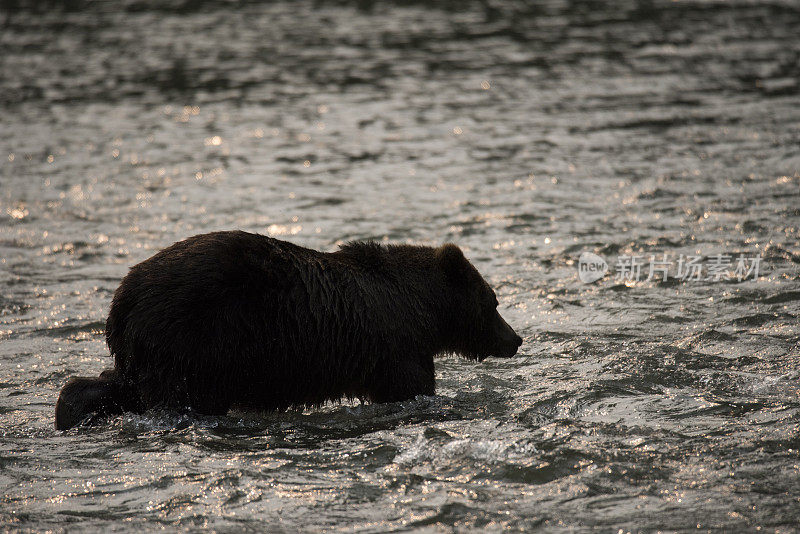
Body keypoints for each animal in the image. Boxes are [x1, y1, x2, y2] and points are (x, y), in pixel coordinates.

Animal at [53, 230, 520, 432]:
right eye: (494, 301)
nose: (515, 339)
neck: (423, 310)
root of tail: (122, 299)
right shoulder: (396, 348)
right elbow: (411, 388)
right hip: (196, 341)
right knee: (178, 396)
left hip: (149, 350)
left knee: (113, 385)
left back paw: (71, 412)